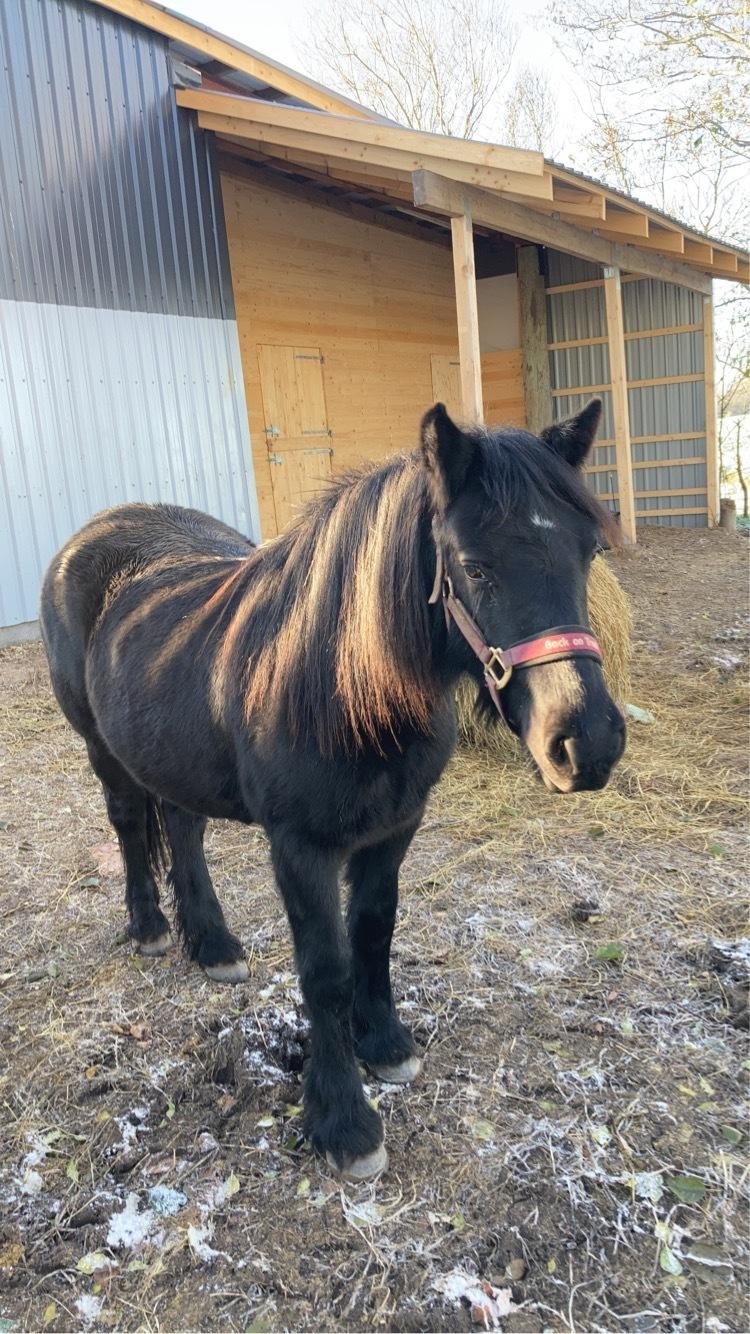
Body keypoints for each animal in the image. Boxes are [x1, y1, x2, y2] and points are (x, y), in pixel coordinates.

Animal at [40, 398, 625, 1181]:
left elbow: (373, 932)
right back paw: (150, 927)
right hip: (101, 747)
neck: (338, 686)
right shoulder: (300, 847)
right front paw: (344, 1121)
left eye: (587, 553)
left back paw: (213, 943)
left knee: (183, 829)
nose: (586, 744)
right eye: (474, 566)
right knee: (131, 822)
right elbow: (325, 970)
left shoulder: (397, 828)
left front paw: (385, 1044)